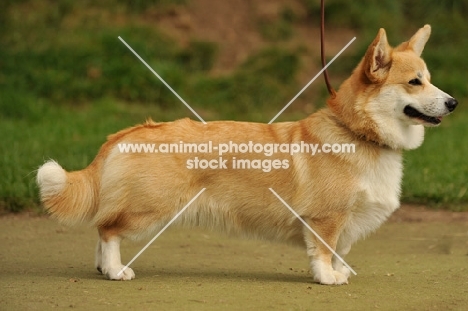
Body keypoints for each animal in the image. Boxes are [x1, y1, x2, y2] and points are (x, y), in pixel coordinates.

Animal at [37, 25, 458, 286]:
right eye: (414, 82)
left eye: (429, 79)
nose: (454, 103)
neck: (359, 132)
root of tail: (128, 132)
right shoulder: (326, 219)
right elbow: (323, 252)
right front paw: (327, 279)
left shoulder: (347, 223)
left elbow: (340, 251)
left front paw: (341, 272)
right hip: (151, 208)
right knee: (108, 229)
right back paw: (116, 270)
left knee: (102, 226)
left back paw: (103, 268)